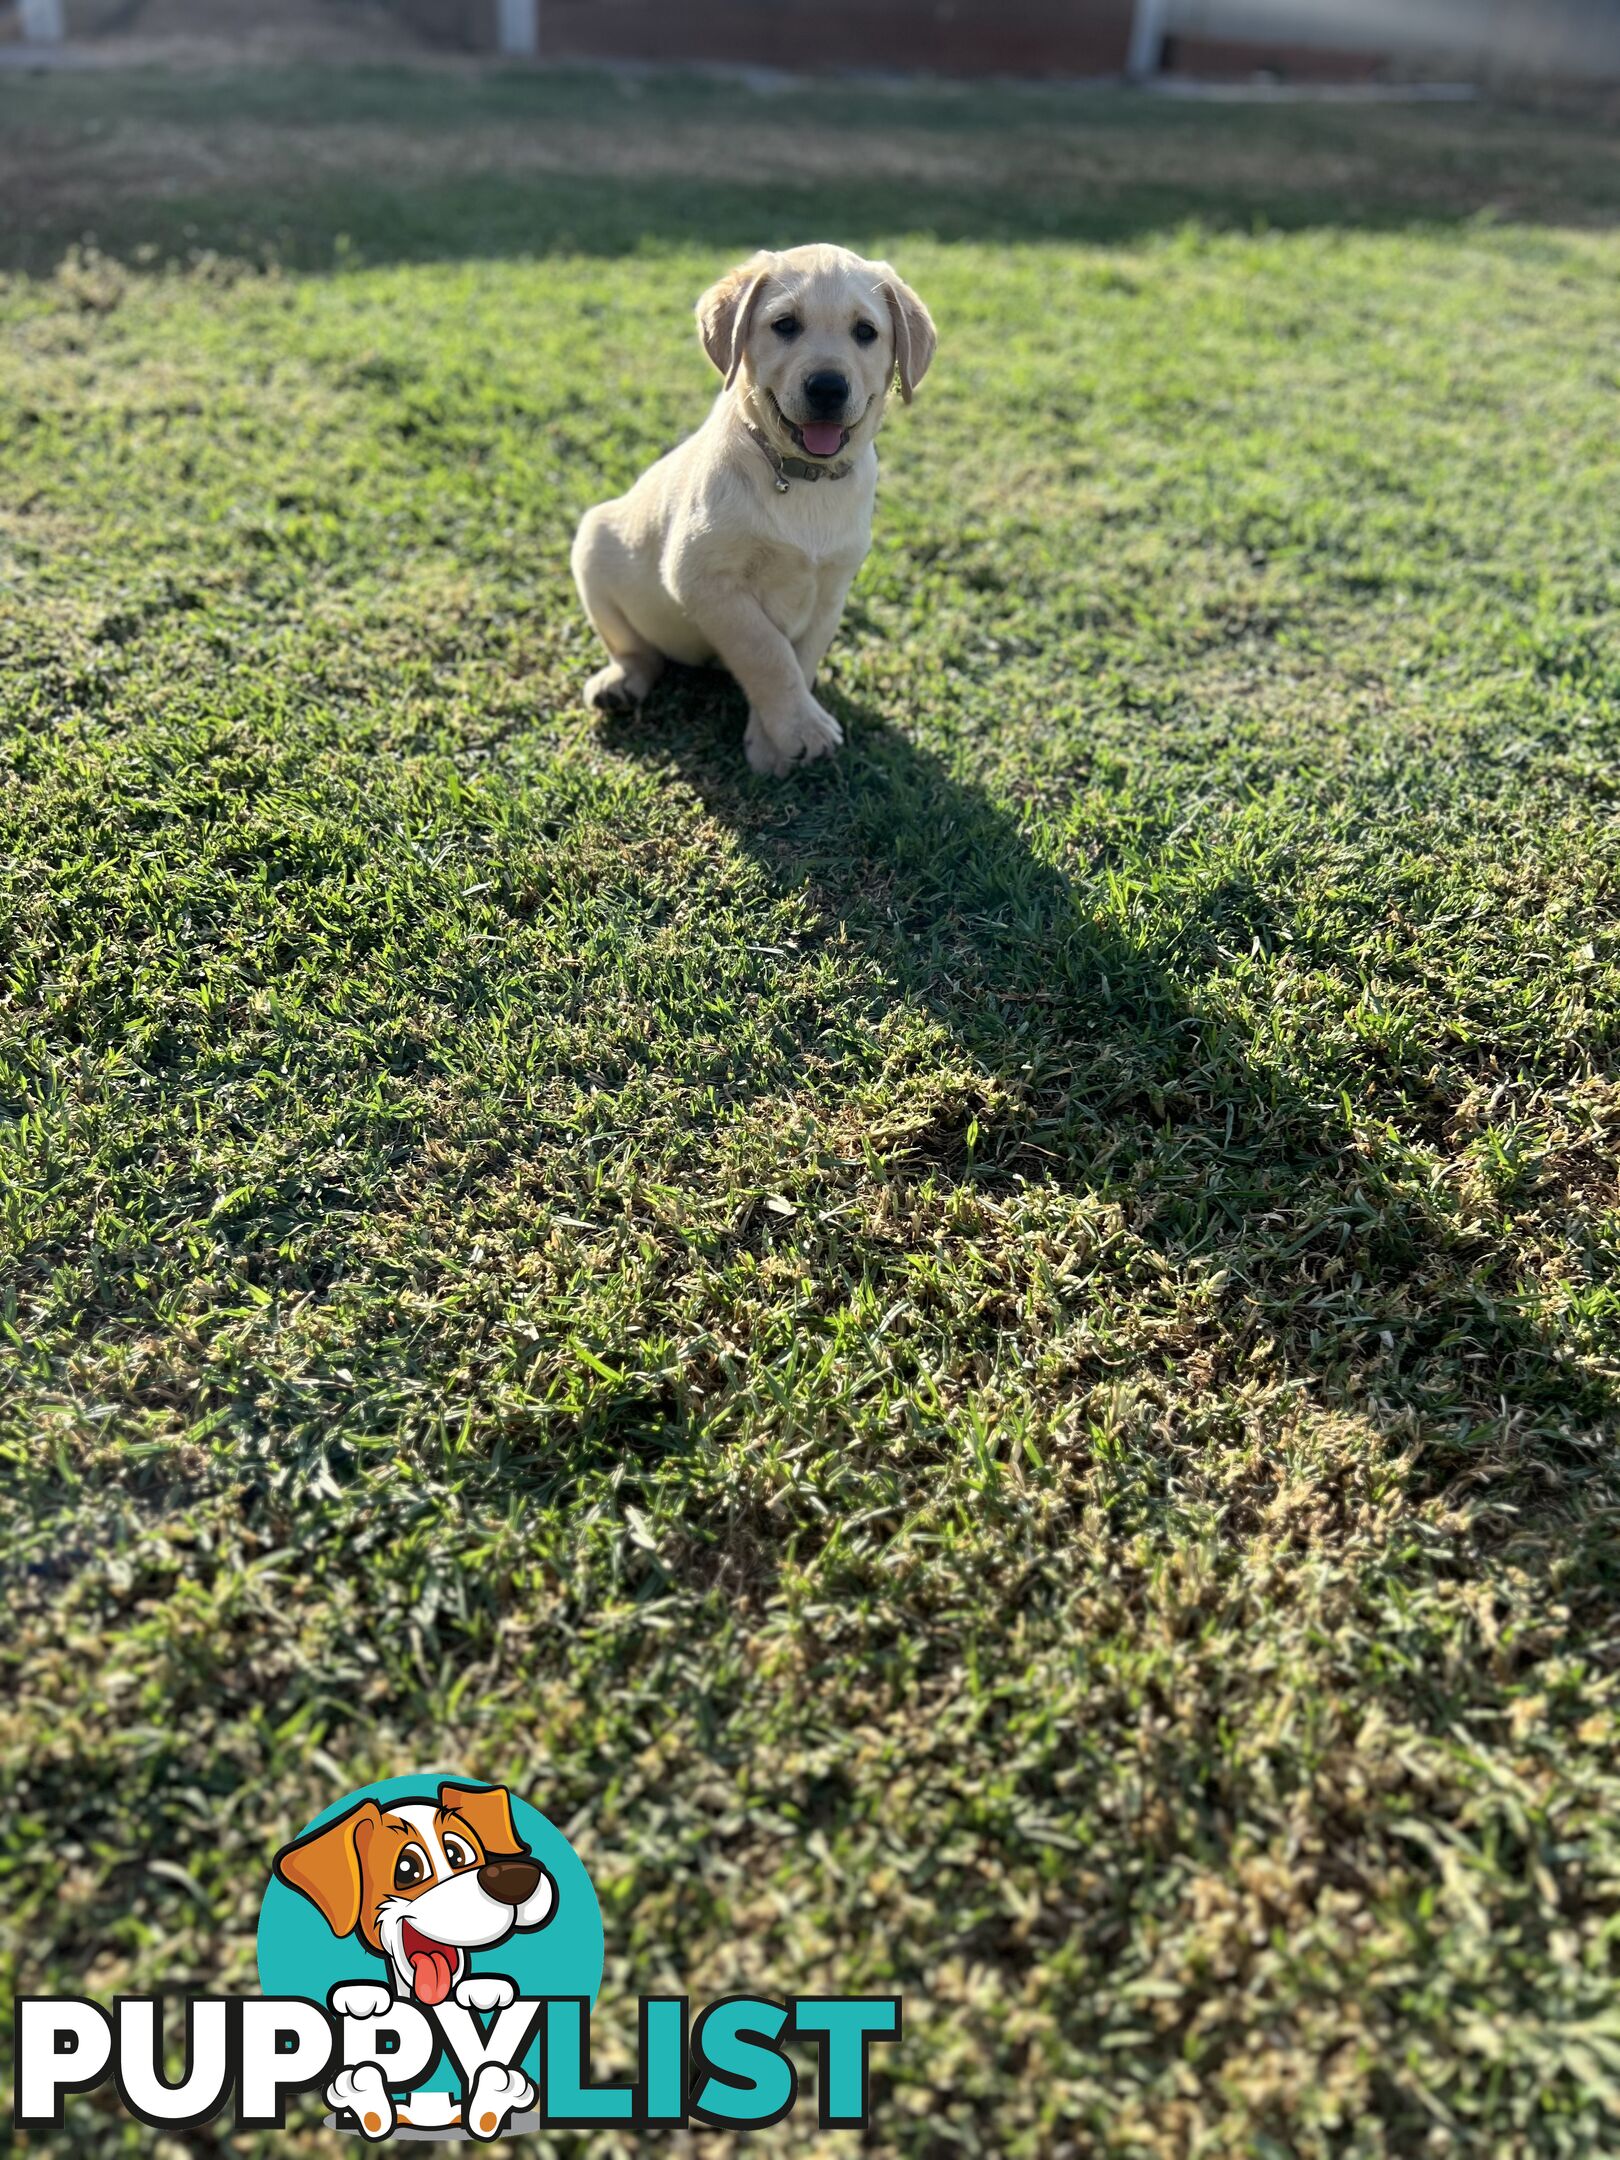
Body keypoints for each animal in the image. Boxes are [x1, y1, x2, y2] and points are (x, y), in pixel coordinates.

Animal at [578, 245, 937, 777]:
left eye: (866, 332)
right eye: (785, 325)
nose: (827, 388)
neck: (802, 476)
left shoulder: (831, 589)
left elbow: (798, 658)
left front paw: (775, 740)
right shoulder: (702, 578)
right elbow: (765, 651)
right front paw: (802, 730)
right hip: (593, 548)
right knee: (638, 650)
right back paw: (621, 682)